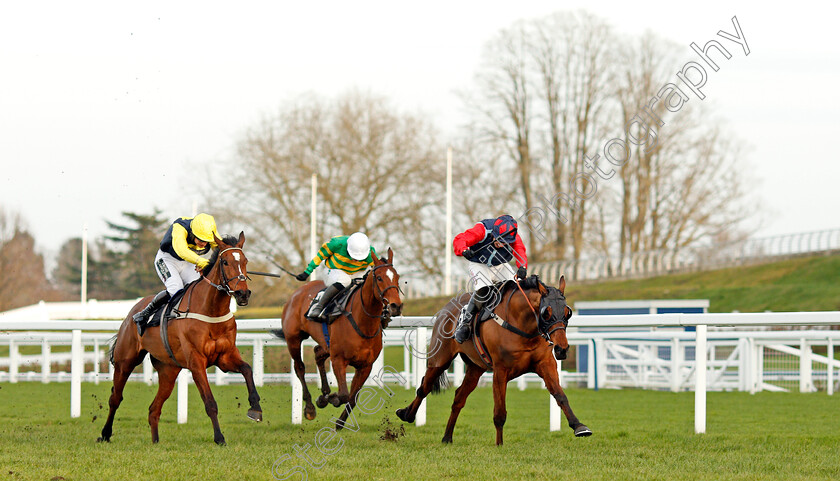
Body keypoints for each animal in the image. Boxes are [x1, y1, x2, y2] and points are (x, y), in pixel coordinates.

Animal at [97, 231, 260, 444]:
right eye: (225, 262)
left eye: (245, 261)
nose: (243, 293)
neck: (211, 310)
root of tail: (132, 312)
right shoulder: (196, 362)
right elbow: (210, 402)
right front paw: (219, 438)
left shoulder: (224, 357)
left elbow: (247, 369)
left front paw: (255, 408)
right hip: (126, 361)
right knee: (116, 398)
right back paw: (105, 434)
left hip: (168, 370)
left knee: (154, 409)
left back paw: (155, 442)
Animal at [276, 248, 404, 428]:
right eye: (379, 278)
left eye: (397, 277)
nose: (396, 306)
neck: (363, 322)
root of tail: (298, 292)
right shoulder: (338, 360)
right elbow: (343, 394)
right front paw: (331, 399)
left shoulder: (366, 366)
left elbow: (353, 397)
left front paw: (339, 421)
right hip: (293, 338)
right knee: (299, 367)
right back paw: (310, 407)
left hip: (326, 342)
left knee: (318, 353)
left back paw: (324, 394)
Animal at [398, 276, 592, 444]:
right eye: (546, 313)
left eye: (567, 312)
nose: (562, 348)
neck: (523, 327)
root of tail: (446, 308)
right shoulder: (500, 370)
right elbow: (499, 412)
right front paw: (499, 444)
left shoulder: (546, 364)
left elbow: (560, 396)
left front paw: (579, 426)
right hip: (439, 360)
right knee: (424, 387)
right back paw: (407, 414)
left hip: (475, 368)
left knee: (458, 398)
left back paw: (447, 437)